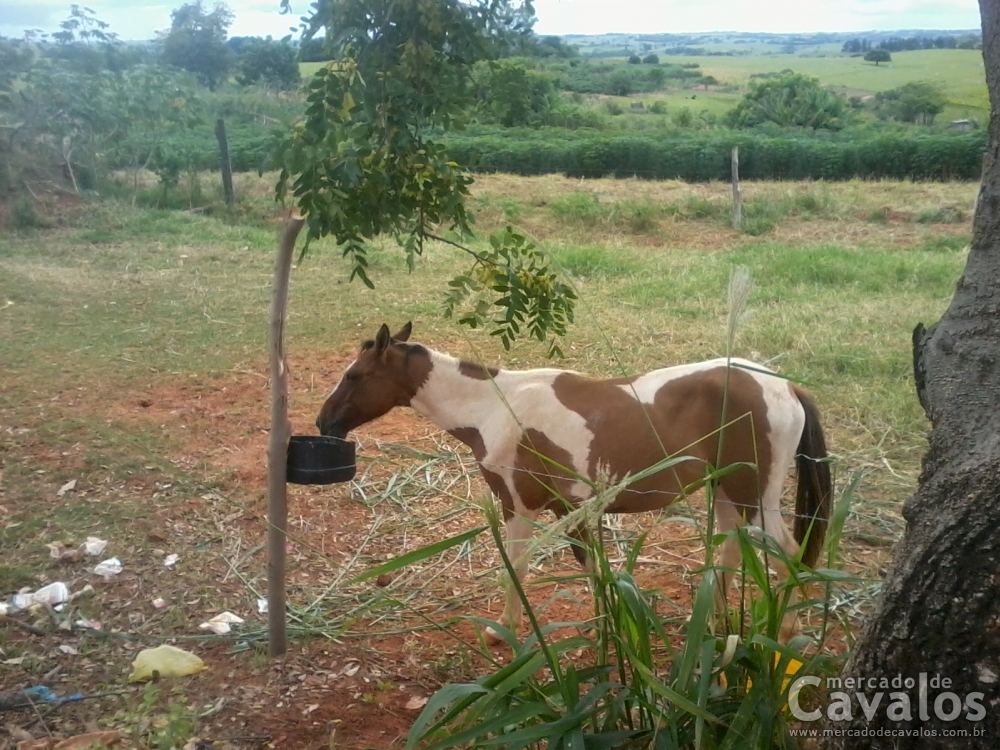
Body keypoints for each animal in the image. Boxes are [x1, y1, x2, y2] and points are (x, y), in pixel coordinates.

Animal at [316, 322, 832, 643]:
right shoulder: (573, 510)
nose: (324, 423)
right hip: (726, 493)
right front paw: (609, 630)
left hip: (755, 497)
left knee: (788, 556)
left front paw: (502, 631)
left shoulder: (520, 506)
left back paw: (785, 634)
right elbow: (593, 571)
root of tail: (785, 387)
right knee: (731, 546)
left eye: (355, 375)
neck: (495, 406)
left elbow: (517, 568)